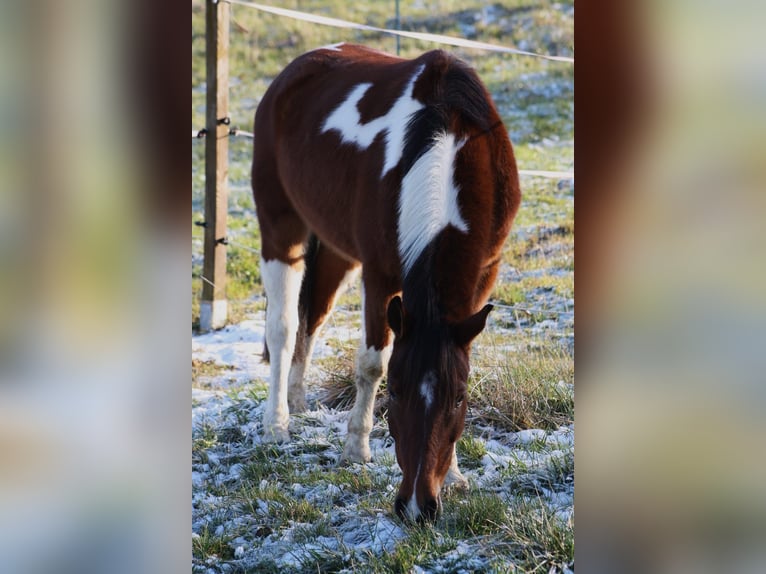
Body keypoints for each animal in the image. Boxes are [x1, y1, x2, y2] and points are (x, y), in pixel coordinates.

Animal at [252, 42, 520, 524]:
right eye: (395, 392)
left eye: (458, 398)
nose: (417, 507)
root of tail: (296, 69)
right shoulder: (379, 277)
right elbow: (371, 363)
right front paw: (356, 449)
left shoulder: (484, 276)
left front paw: (455, 474)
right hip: (281, 230)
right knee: (283, 328)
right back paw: (277, 423)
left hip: (335, 249)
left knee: (313, 317)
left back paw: (298, 398)